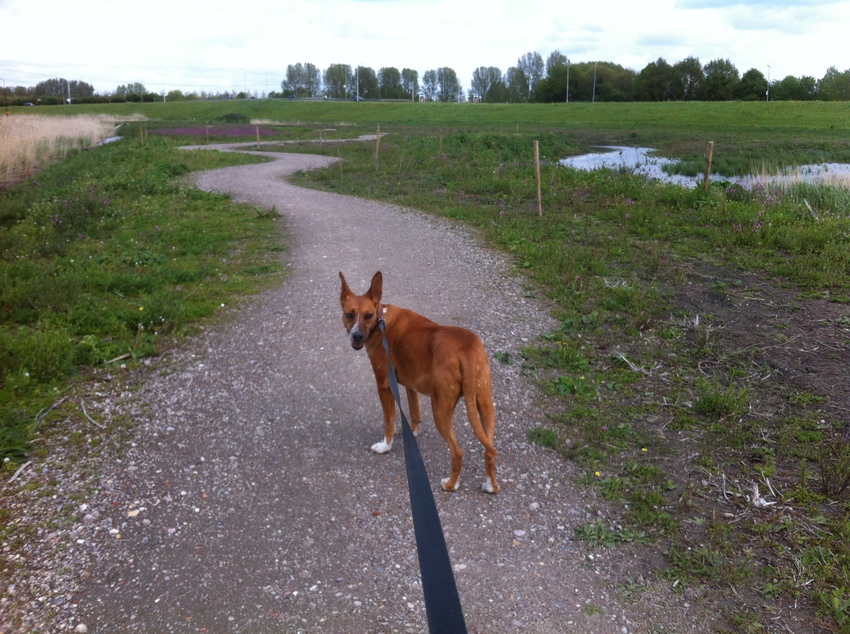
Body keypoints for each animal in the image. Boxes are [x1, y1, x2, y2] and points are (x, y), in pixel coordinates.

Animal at [339, 271, 499, 494]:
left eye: (368, 315)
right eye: (350, 314)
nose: (357, 336)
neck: (380, 321)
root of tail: (465, 350)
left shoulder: (384, 386)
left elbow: (389, 420)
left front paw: (386, 445)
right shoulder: (410, 385)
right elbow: (414, 413)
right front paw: (412, 433)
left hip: (440, 409)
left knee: (457, 452)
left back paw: (451, 484)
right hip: (485, 406)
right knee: (490, 450)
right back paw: (490, 485)